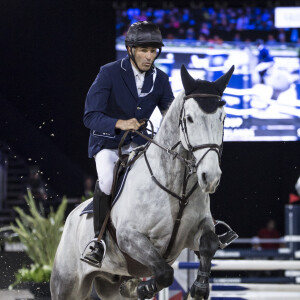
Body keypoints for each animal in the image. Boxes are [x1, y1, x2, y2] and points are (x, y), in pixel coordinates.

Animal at [51, 65, 234, 300]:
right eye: (190, 118)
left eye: (223, 118)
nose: (210, 177)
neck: (178, 188)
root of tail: (71, 216)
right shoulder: (130, 237)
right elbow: (165, 273)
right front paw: (143, 288)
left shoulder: (196, 231)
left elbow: (209, 244)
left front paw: (200, 288)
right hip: (67, 284)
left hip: (109, 284)